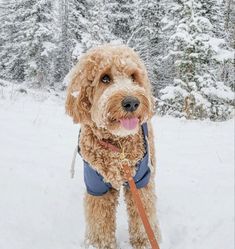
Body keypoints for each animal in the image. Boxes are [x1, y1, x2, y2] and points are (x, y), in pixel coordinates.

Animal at [66, 43, 162, 248]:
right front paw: (98, 244)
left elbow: (143, 216)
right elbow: (99, 222)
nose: (132, 102)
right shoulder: (96, 185)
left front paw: (146, 242)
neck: (118, 146)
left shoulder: (140, 182)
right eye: (105, 78)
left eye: (133, 76)